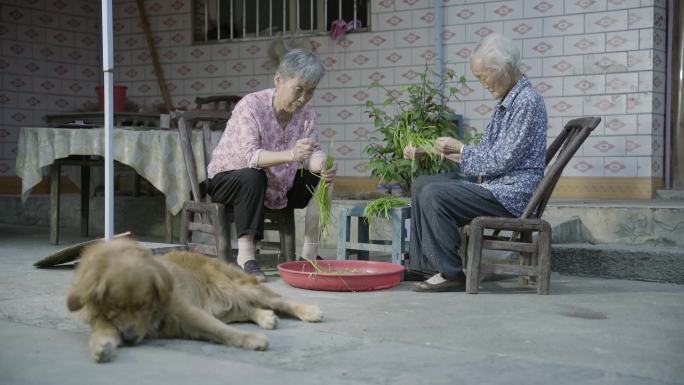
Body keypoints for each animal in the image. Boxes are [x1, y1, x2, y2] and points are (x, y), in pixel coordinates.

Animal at [65, 238, 322, 362]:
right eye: (114, 308)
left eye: (144, 305)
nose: (128, 339)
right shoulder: (103, 320)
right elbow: (102, 333)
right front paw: (101, 347)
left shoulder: (185, 311)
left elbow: (220, 330)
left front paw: (250, 339)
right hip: (224, 305)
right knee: (246, 309)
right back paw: (266, 317)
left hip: (234, 288)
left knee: (278, 300)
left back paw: (308, 311)